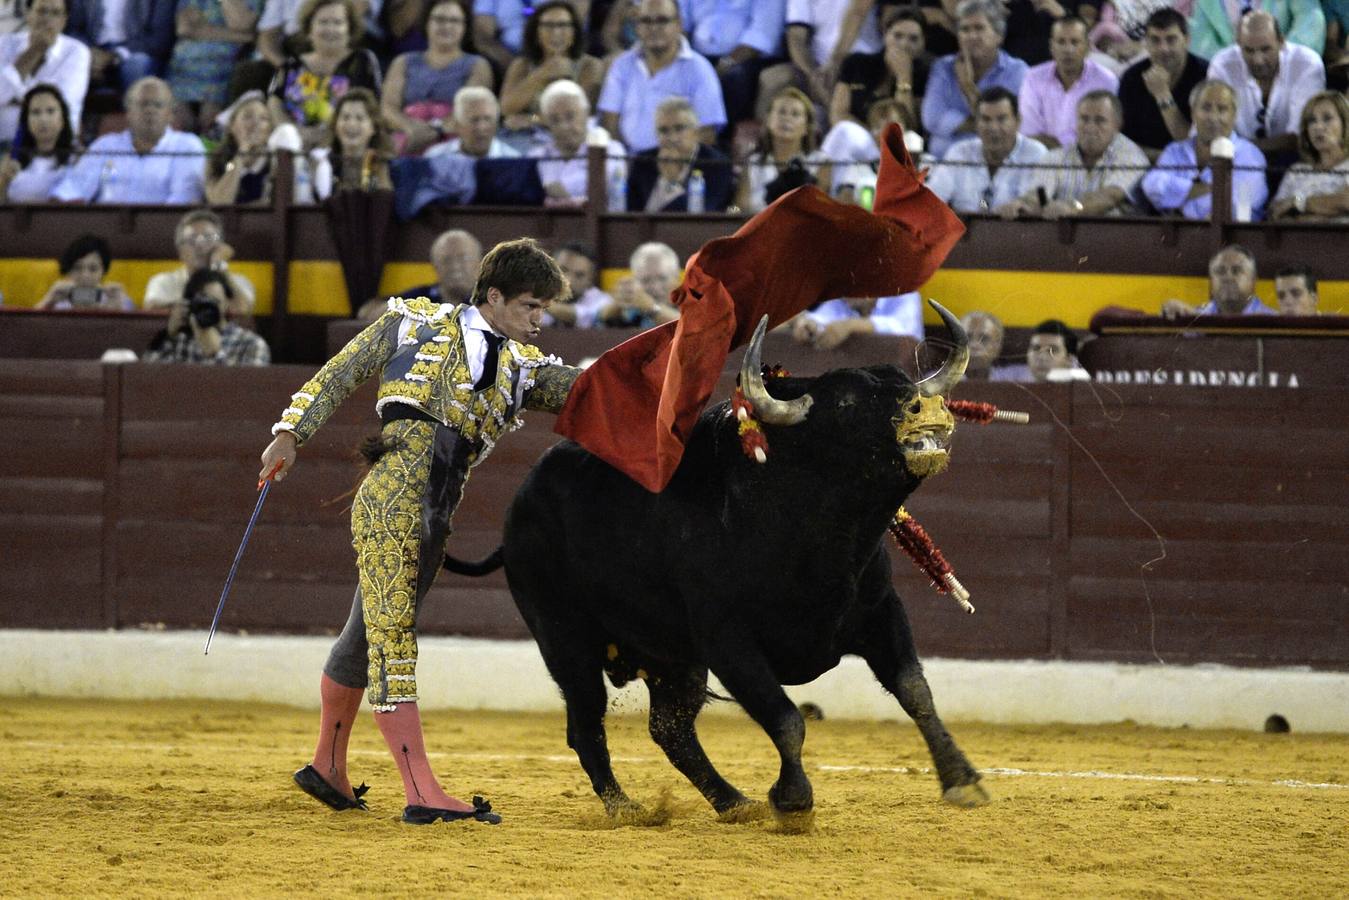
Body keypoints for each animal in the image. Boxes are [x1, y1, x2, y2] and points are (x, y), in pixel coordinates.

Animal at [447, 307, 987, 814]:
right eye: (847, 404)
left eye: (902, 384)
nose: (926, 406)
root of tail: (517, 512)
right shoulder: (728, 641)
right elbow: (786, 718)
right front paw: (792, 800)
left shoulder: (880, 611)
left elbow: (915, 690)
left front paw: (962, 780)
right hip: (565, 641)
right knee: (586, 723)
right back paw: (626, 808)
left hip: (671, 659)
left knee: (671, 730)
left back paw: (733, 803)